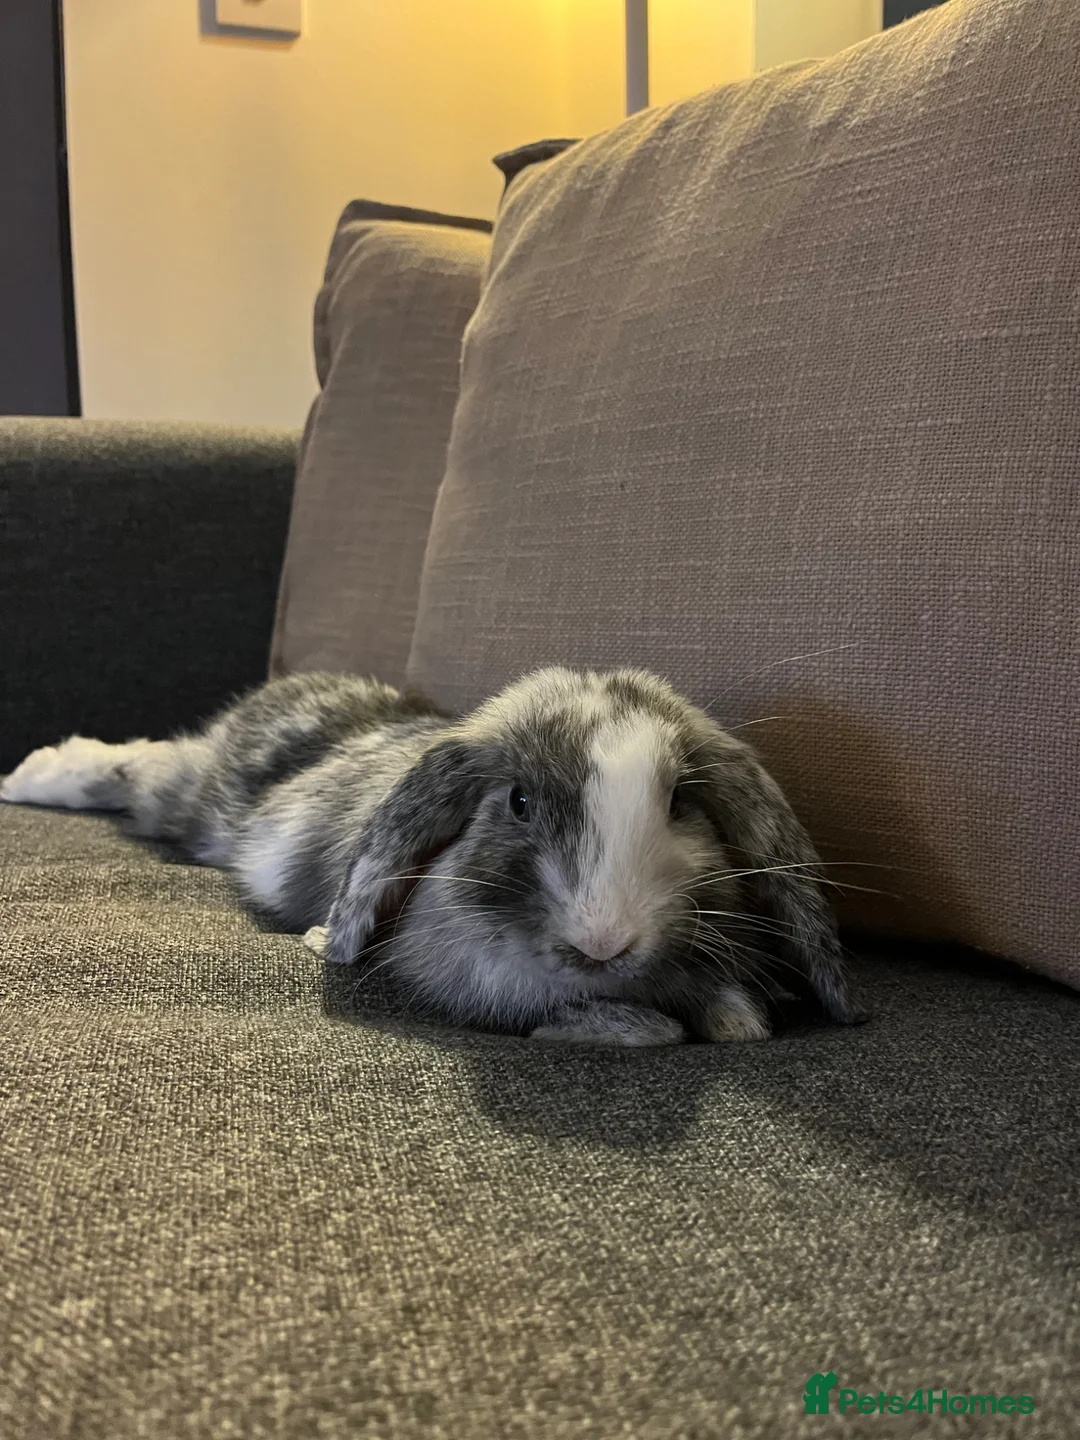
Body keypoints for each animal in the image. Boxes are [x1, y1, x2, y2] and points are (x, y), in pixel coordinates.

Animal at [0, 666, 863, 1047]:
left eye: (681, 801)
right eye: (518, 803)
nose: (603, 940)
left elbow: (725, 1015)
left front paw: (740, 1017)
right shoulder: (467, 979)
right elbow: (632, 1025)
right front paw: (629, 1024)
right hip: (191, 800)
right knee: (135, 768)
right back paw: (27, 775)